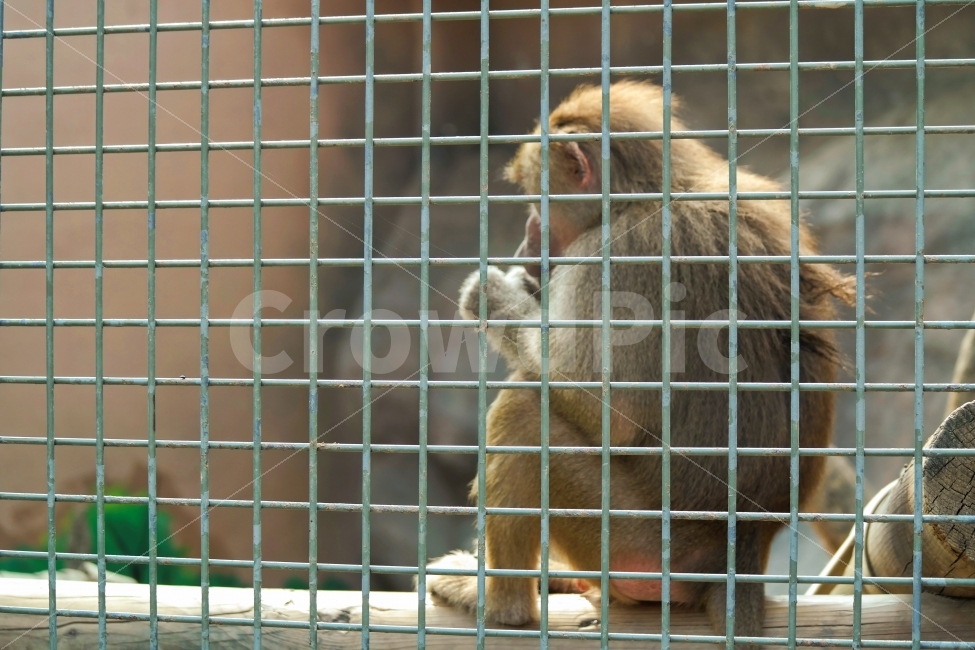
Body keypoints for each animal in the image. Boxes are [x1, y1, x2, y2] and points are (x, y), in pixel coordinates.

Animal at [424, 81, 854, 644]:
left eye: (538, 203)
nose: (523, 245)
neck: (648, 192)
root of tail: (738, 556)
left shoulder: (612, 255)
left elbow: (613, 412)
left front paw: (495, 297)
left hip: (638, 541)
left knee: (524, 412)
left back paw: (498, 605)